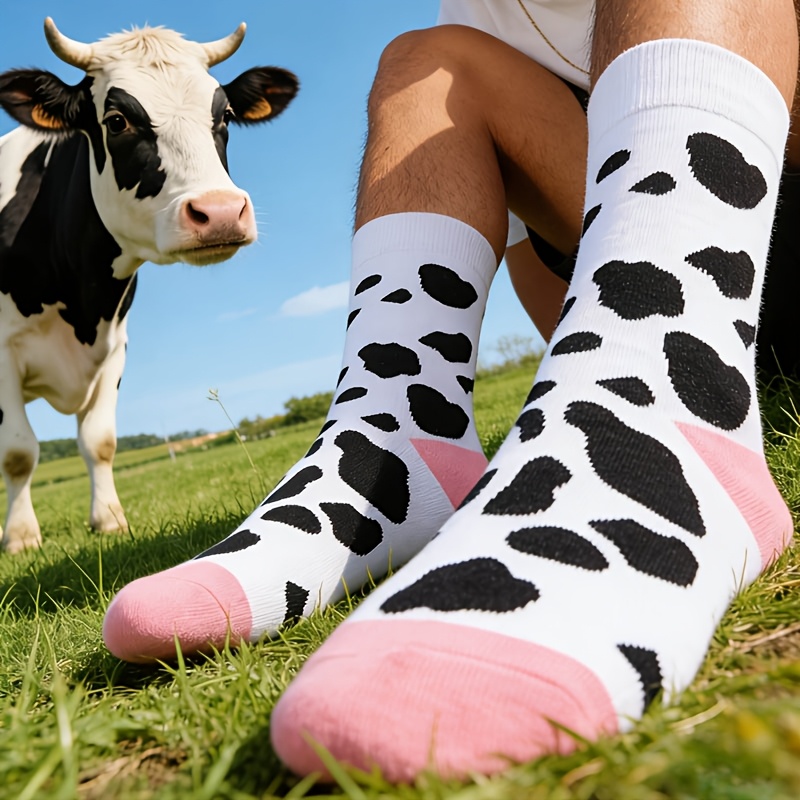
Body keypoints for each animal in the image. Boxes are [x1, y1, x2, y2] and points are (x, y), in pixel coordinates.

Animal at [0, 19, 298, 552]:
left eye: (224, 116)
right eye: (117, 120)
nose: (221, 212)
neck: (81, 301)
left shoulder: (114, 346)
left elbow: (99, 440)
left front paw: (109, 520)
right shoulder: (3, 354)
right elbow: (18, 451)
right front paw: (20, 537)